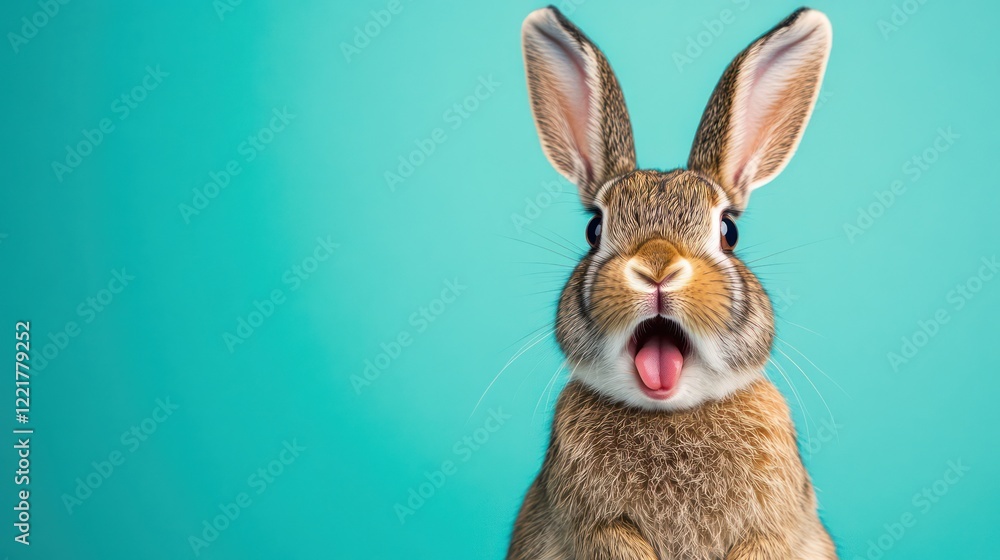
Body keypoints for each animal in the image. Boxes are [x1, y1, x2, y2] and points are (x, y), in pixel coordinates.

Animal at [508, 6, 836, 560]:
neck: (670, 411)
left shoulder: (772, 527)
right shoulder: (595, 526)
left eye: (729, 231)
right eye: (594, 229)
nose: (657, 266)